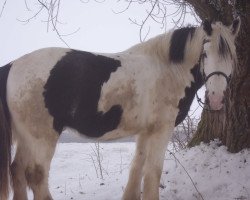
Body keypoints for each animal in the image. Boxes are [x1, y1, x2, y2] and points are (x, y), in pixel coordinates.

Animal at [0, 18, 240, 198]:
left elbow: (137, 167)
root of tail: (14, 65)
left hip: (26, 137)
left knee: (17, 171)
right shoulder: (162, 130)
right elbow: (153, 172)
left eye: (232, 56)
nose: (216, 98)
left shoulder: (146, 131)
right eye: (205, 54)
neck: (167, 69)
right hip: (42, 137)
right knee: (36, 176)